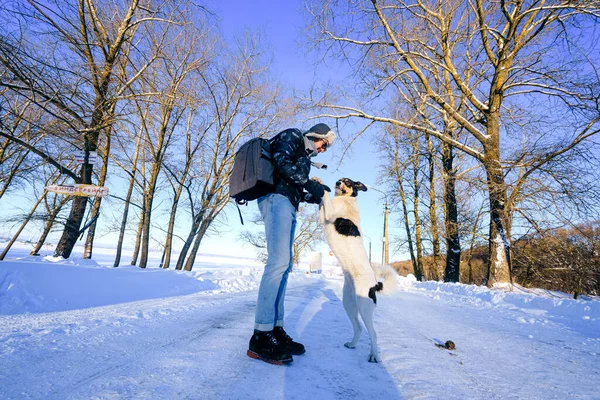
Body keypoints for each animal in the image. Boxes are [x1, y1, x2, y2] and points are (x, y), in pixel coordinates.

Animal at [316, 177, 396, 362]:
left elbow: (326, 195)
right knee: (358, 327)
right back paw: (352, 344)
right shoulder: (324, 216)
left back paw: (373, 356)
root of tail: (375, 285)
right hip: (348, 304)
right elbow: (322, 202)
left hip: (364, 308)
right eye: (341, 180)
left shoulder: (330, 213)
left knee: (373, 334)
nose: (337, 183)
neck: (346, 200)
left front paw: (320, 182)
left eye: (348, 182)